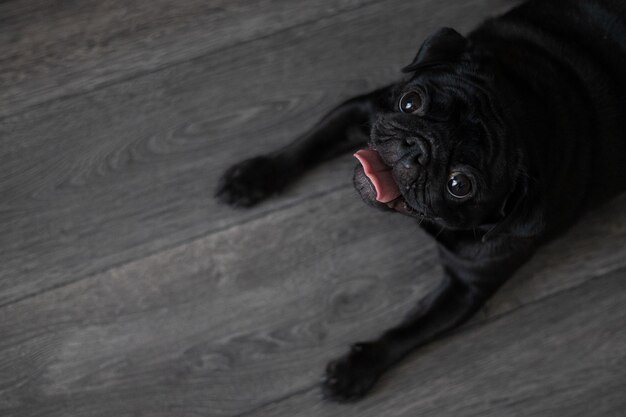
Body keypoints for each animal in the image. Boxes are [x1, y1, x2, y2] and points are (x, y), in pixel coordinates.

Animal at [216, 0, 624, 404]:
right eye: (410, 102)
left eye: (460, 184)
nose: (419, 148)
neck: (524, 106)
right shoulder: (363, 111)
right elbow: (308, 144)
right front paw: (256, 176)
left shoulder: (466, 288)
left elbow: (407, 333)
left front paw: (356, 369)